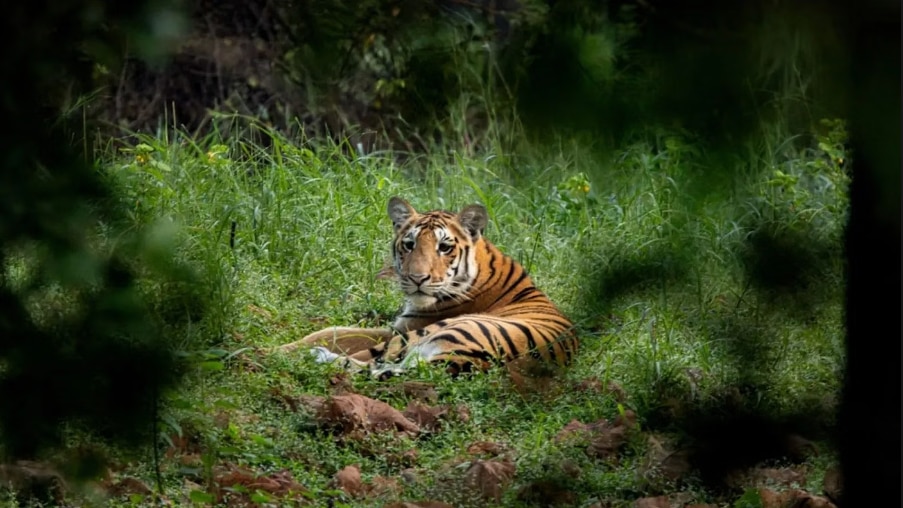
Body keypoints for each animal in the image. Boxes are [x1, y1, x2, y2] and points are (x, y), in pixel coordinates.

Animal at [276, 196, 584, 380]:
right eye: (409, 244)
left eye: (444, 247)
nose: (417, 278)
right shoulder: (397, 326)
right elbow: (332, 332)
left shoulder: (407, 329)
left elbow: (349, 344)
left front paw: (278, 351)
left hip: (442, 330)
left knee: (370, 363)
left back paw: (315, 357)